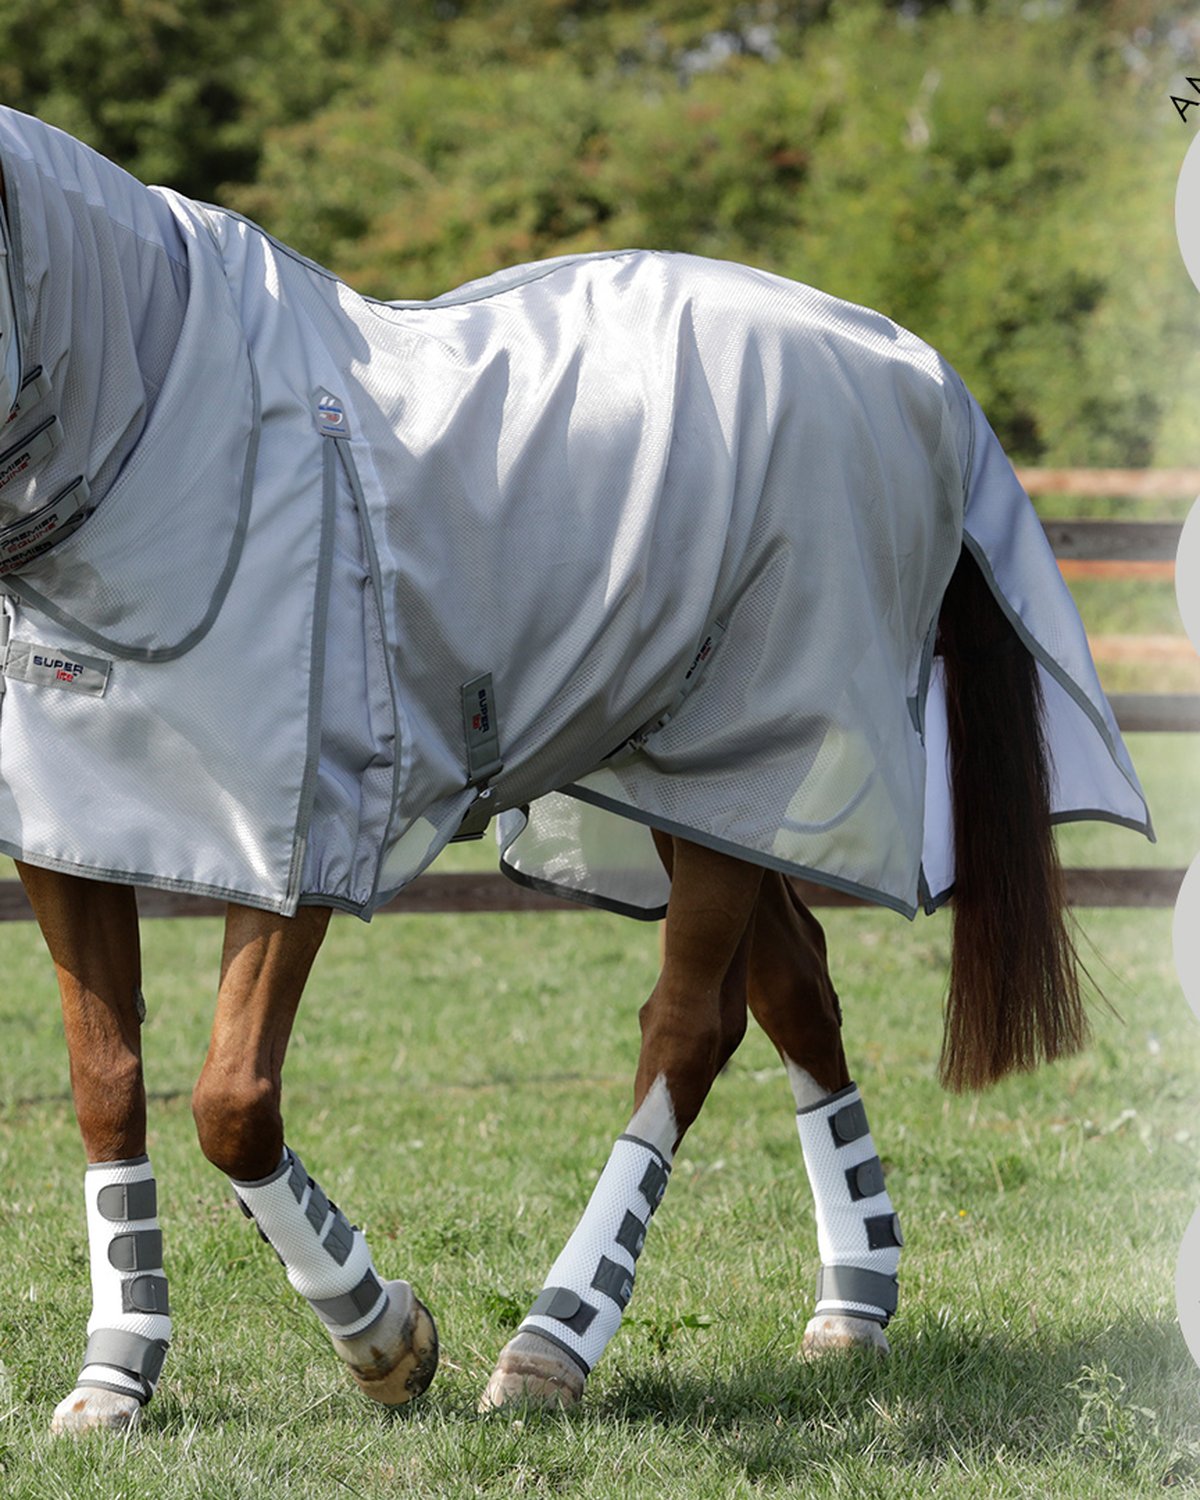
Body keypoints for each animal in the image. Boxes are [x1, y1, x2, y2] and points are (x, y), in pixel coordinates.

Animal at [0, 109, 1149, 1433]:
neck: (169, 440)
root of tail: (913, 367)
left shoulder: (305, 837)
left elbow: (232, 1102)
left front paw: (384, 1337)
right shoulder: (72, 836)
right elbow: (105, 1082)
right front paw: (115, 1371)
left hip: (751, 760)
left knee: (690, 1030)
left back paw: (554, 1342)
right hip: (701, 790)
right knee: (798, 993)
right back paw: (852, 1303)